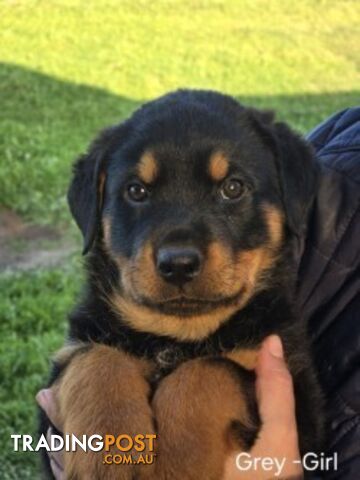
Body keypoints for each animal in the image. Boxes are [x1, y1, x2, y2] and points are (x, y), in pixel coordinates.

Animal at [40, 89, 324, 476]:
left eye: (233, 187)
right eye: (136, 191)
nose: (178, 263)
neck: (175, 337)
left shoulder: (300, 397)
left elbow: (206, 371)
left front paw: (175, 466)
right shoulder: (61, 378)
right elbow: (96, 358)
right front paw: (110, 453)